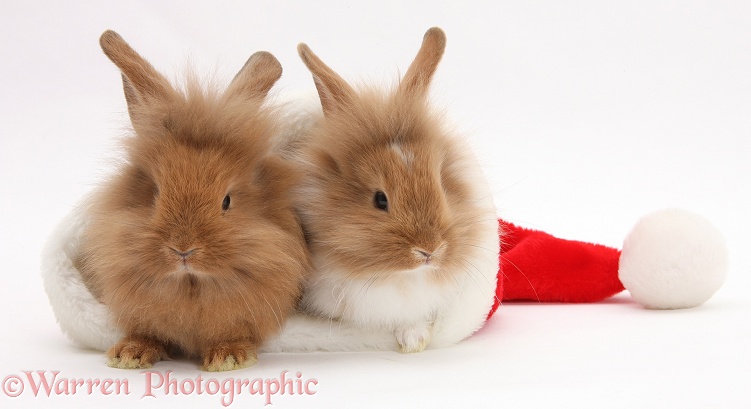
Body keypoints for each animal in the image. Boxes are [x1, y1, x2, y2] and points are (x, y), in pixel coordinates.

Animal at [75, 31, 310, 370]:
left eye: (226, 201)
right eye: (155, 193)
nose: (183, 250)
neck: (190, 286)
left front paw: (228, 359)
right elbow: (146, 332)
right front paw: (129, 354)